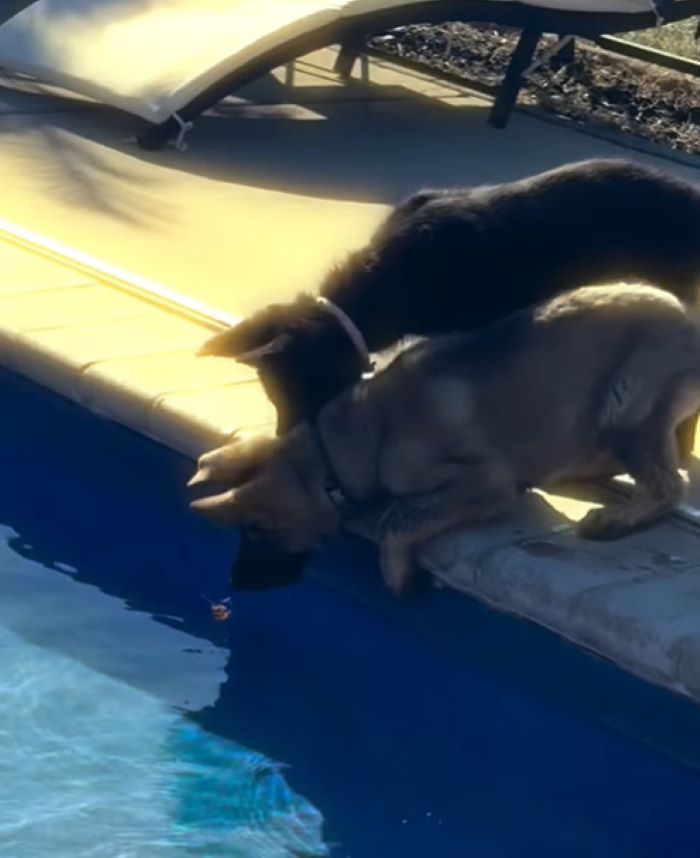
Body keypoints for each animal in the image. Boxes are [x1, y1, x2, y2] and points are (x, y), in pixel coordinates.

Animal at [190, 284, 700, 592]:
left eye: (257, 532)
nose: (234, 584)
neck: (340, 448)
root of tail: (686, 317)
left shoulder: (487, 479)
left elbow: (398, 521)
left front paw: (397, 574)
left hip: (626, 406)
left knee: (669, 484)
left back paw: (615, 520)